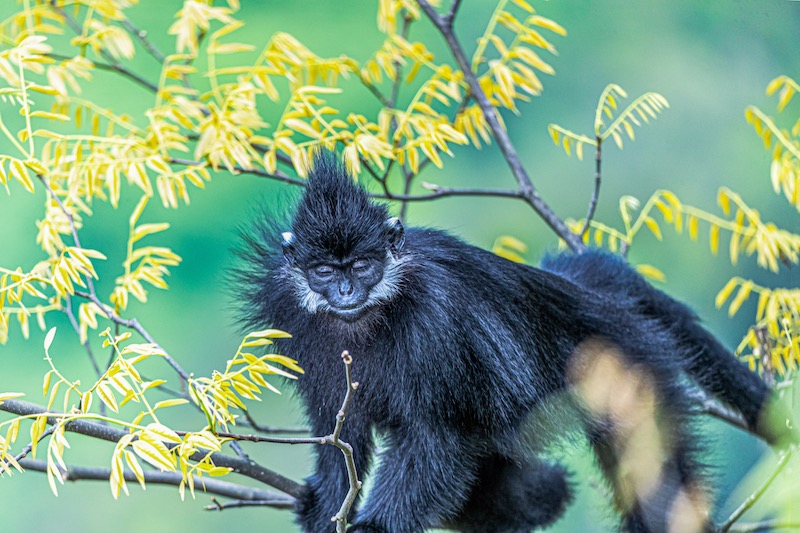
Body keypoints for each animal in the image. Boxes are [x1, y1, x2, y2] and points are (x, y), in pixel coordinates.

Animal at [234, 152, 792, 528]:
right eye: (326, 271)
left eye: (363, 265)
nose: (347, 290)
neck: (365, 318)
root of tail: (589, 300)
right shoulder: (295, 320)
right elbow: (339, 434)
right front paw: (328, 506)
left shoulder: (435, 320)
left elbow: (436, 436)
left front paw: (374, 525)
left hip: (631, 369)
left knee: (655, 487)